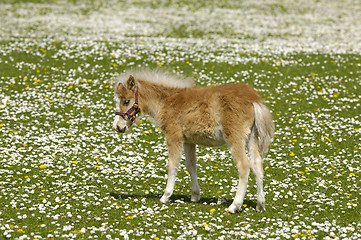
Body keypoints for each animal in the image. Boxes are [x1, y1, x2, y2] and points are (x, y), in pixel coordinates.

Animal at [112, 70, 272, 214]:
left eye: (126, 101)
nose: (118, 127)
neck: (167, 102)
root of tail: (254, 99)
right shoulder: (188, 141)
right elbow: (191, 165)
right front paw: (195, 195)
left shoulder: (173, 136)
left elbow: (172, 165)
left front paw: (165, 196)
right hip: (252, 137)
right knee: (257, 164)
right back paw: (260, 205)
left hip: (235, 137)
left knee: (244, 165)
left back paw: (234, 206)